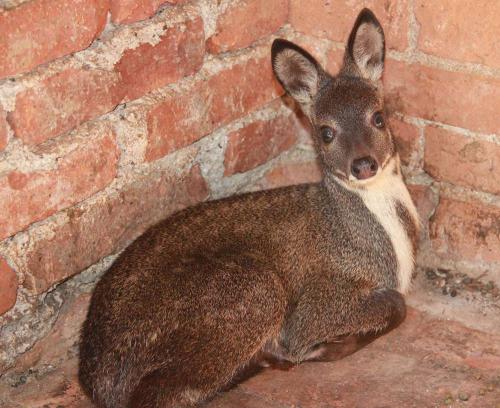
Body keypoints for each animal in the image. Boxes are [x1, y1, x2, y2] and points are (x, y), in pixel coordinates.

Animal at [80, 9, 420, 408]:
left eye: (378, 117)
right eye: (326, 132)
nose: (363, 164)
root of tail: (98, 383)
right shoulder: (315, 305)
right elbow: (394, 304)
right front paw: (324, 346)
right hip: (254, 289)